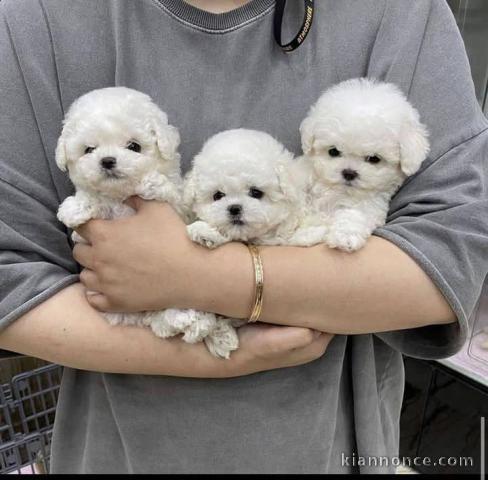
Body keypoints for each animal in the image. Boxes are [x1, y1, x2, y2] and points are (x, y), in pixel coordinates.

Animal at [55, 86, 184, 326]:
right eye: (89, 150)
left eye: (134, 146)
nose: (107, 160)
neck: (120, 196)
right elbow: (93, 198)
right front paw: (74, 208)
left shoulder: (180, 206)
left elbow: (169, 191)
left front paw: (151, 182)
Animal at [292, 78, 428, 251]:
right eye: (333, 151)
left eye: (374, 159)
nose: (349, 173)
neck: (337, 192)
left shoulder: (371, 205)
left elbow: (355, 215)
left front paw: (345, 236)